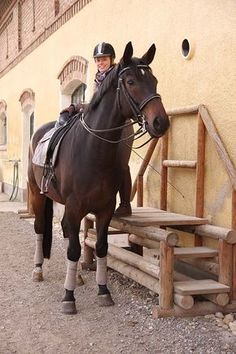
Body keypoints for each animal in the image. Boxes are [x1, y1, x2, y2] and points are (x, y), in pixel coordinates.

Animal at [28, 40, 170, 314]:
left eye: (155, 80)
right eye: (131, 82)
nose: (161, 122)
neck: (93, 149)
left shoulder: (104, 208)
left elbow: (101, 247)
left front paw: (103, 291)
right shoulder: (75, 207)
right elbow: (74, 250)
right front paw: (68, 297)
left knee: (65, 232)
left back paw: (77, 278)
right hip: (36, 194)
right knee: (41, 228)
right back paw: (38, 269)